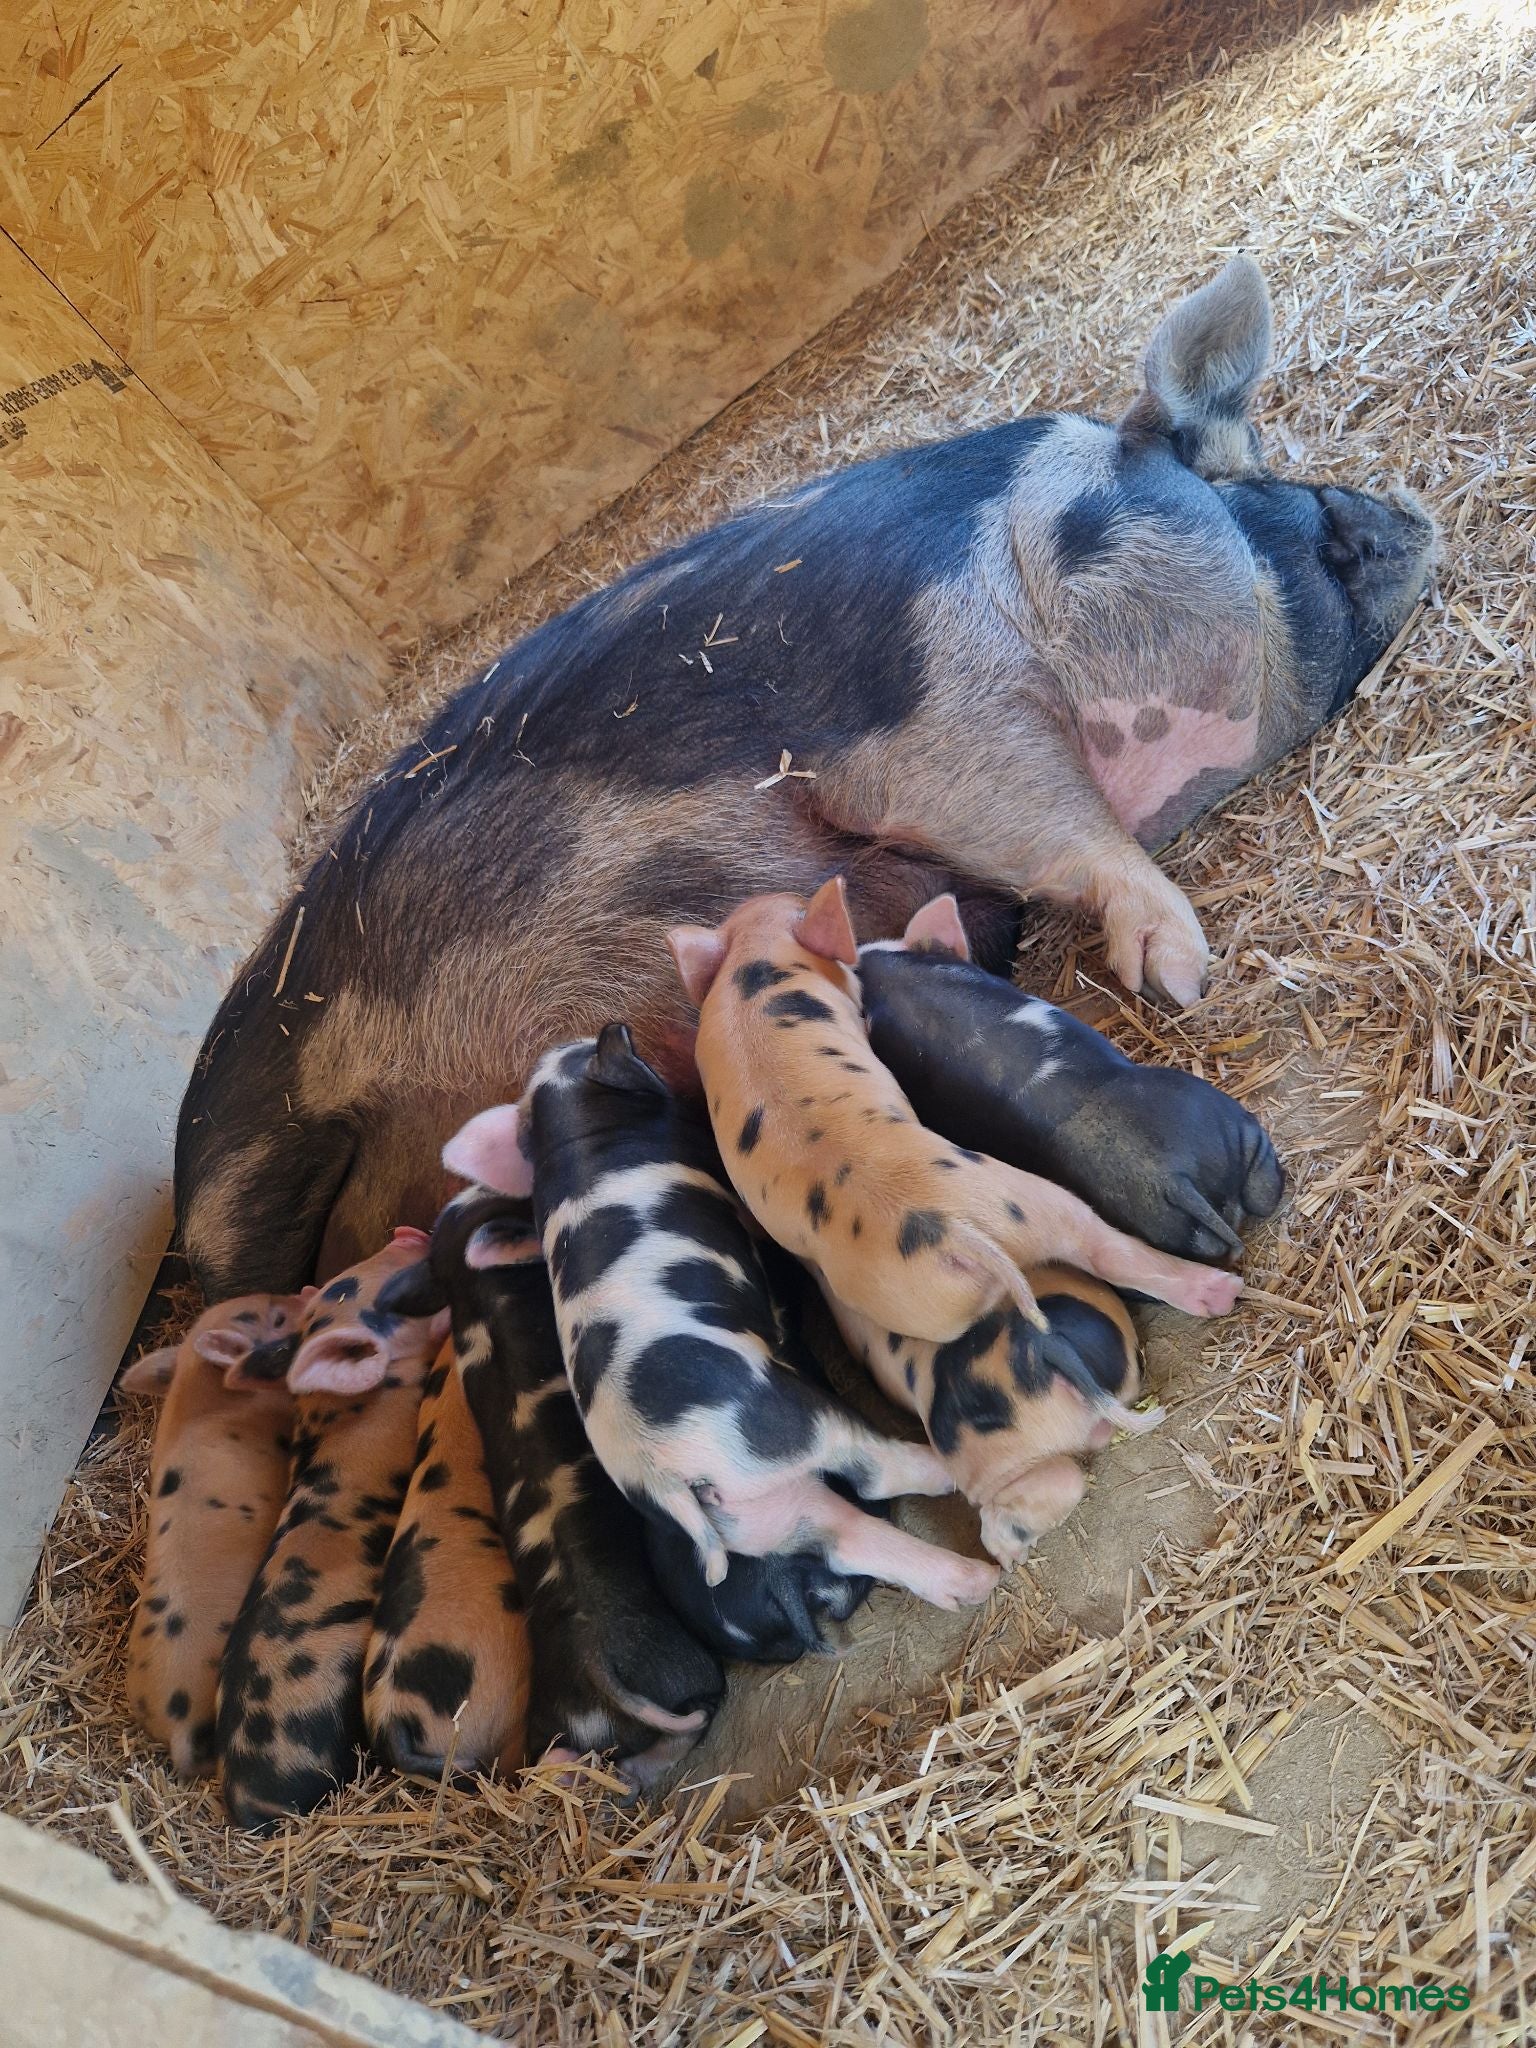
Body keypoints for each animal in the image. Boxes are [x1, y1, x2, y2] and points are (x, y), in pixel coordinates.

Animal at [444, 1025, 1000, 1612]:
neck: (577, 1140)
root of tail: (662, 1474)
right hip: (791, 1418)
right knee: (871, 1472)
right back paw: (945, 1476)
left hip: (757, 1514)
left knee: (848, 1538)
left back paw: (975, 1582)